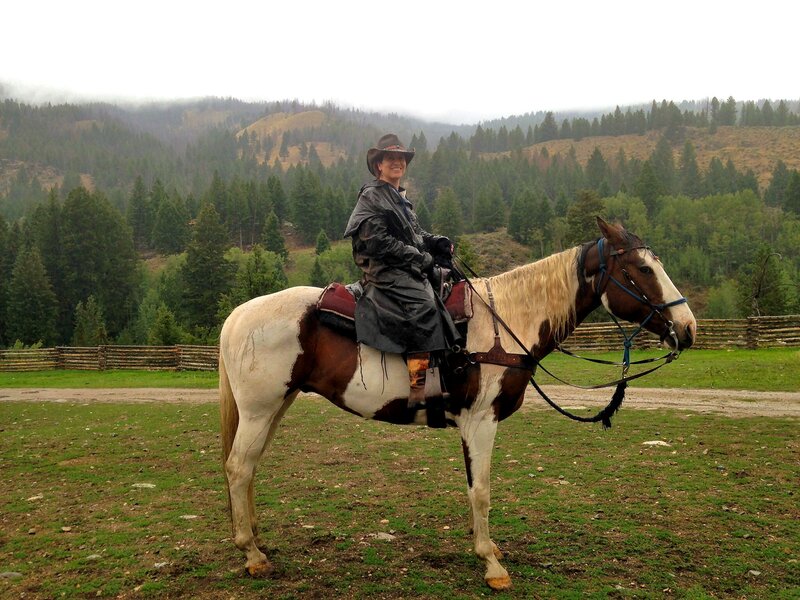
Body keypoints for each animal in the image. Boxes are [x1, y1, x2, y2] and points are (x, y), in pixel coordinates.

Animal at [218, 217, 696, 590]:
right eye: (642, 268)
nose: (687, 328)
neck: (505, 323)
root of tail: (238, 315)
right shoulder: (480, 421)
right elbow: (480, 490)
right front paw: (491, 563)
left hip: (276, 405)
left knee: (250, 467)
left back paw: (256, 537)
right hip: (261, 409)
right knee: (239, 467)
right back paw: (252, 554)